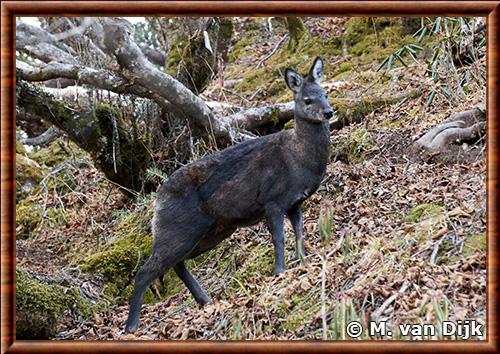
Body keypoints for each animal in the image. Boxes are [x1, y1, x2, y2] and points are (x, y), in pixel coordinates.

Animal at [126, 56, 336, 332]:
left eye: (325, 93)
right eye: (307, 100)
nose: (329, 112)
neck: (298, 160)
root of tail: (156, 201)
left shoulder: (295, 202)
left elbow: (300, 232)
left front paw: (303, 261)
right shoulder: (272, 199)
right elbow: (279, 238)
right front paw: (279, 271)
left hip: (211, 232)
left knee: (177, 265)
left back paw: (204, 300)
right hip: (177, 230)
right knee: (145, 271)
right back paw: (131, 326)